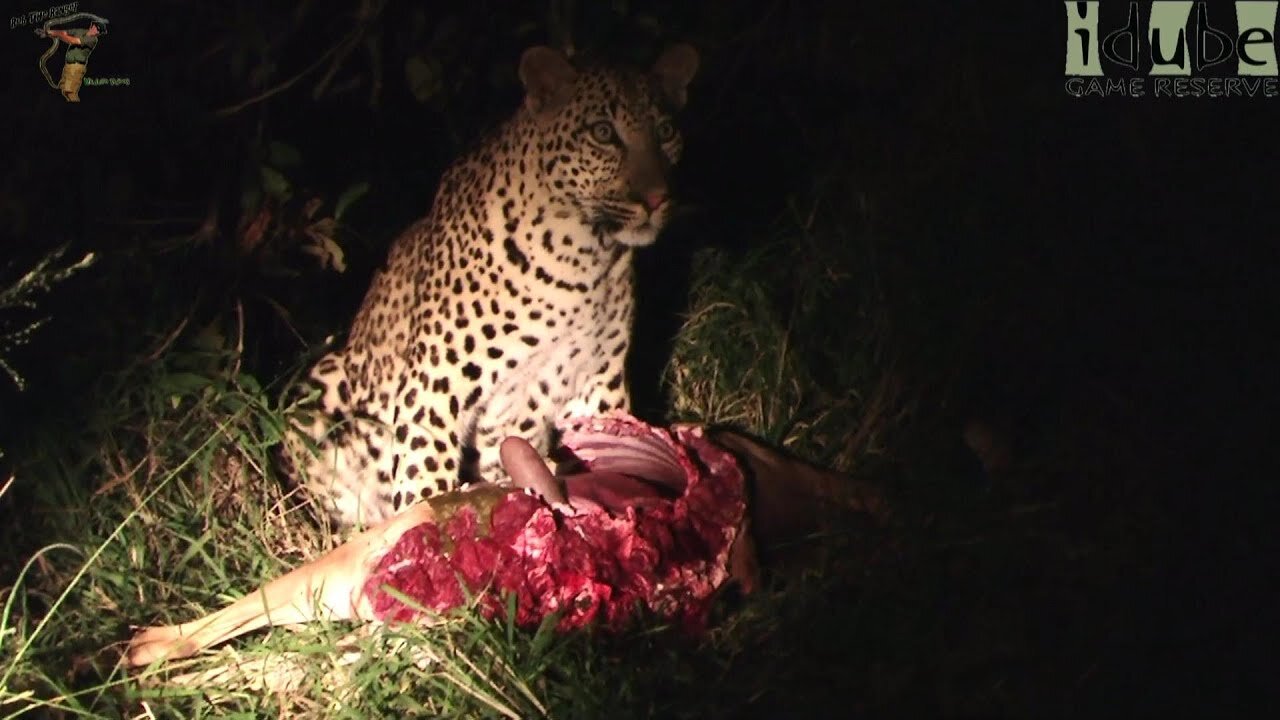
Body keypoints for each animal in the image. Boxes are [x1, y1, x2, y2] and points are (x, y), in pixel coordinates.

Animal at [282, 43, 701, 527]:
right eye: (603, 133)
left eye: (666, 131)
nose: (656, 199)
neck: (586, 258)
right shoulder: (432, 390)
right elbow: (425, 477)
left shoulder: (597, 386)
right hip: (317, 389)